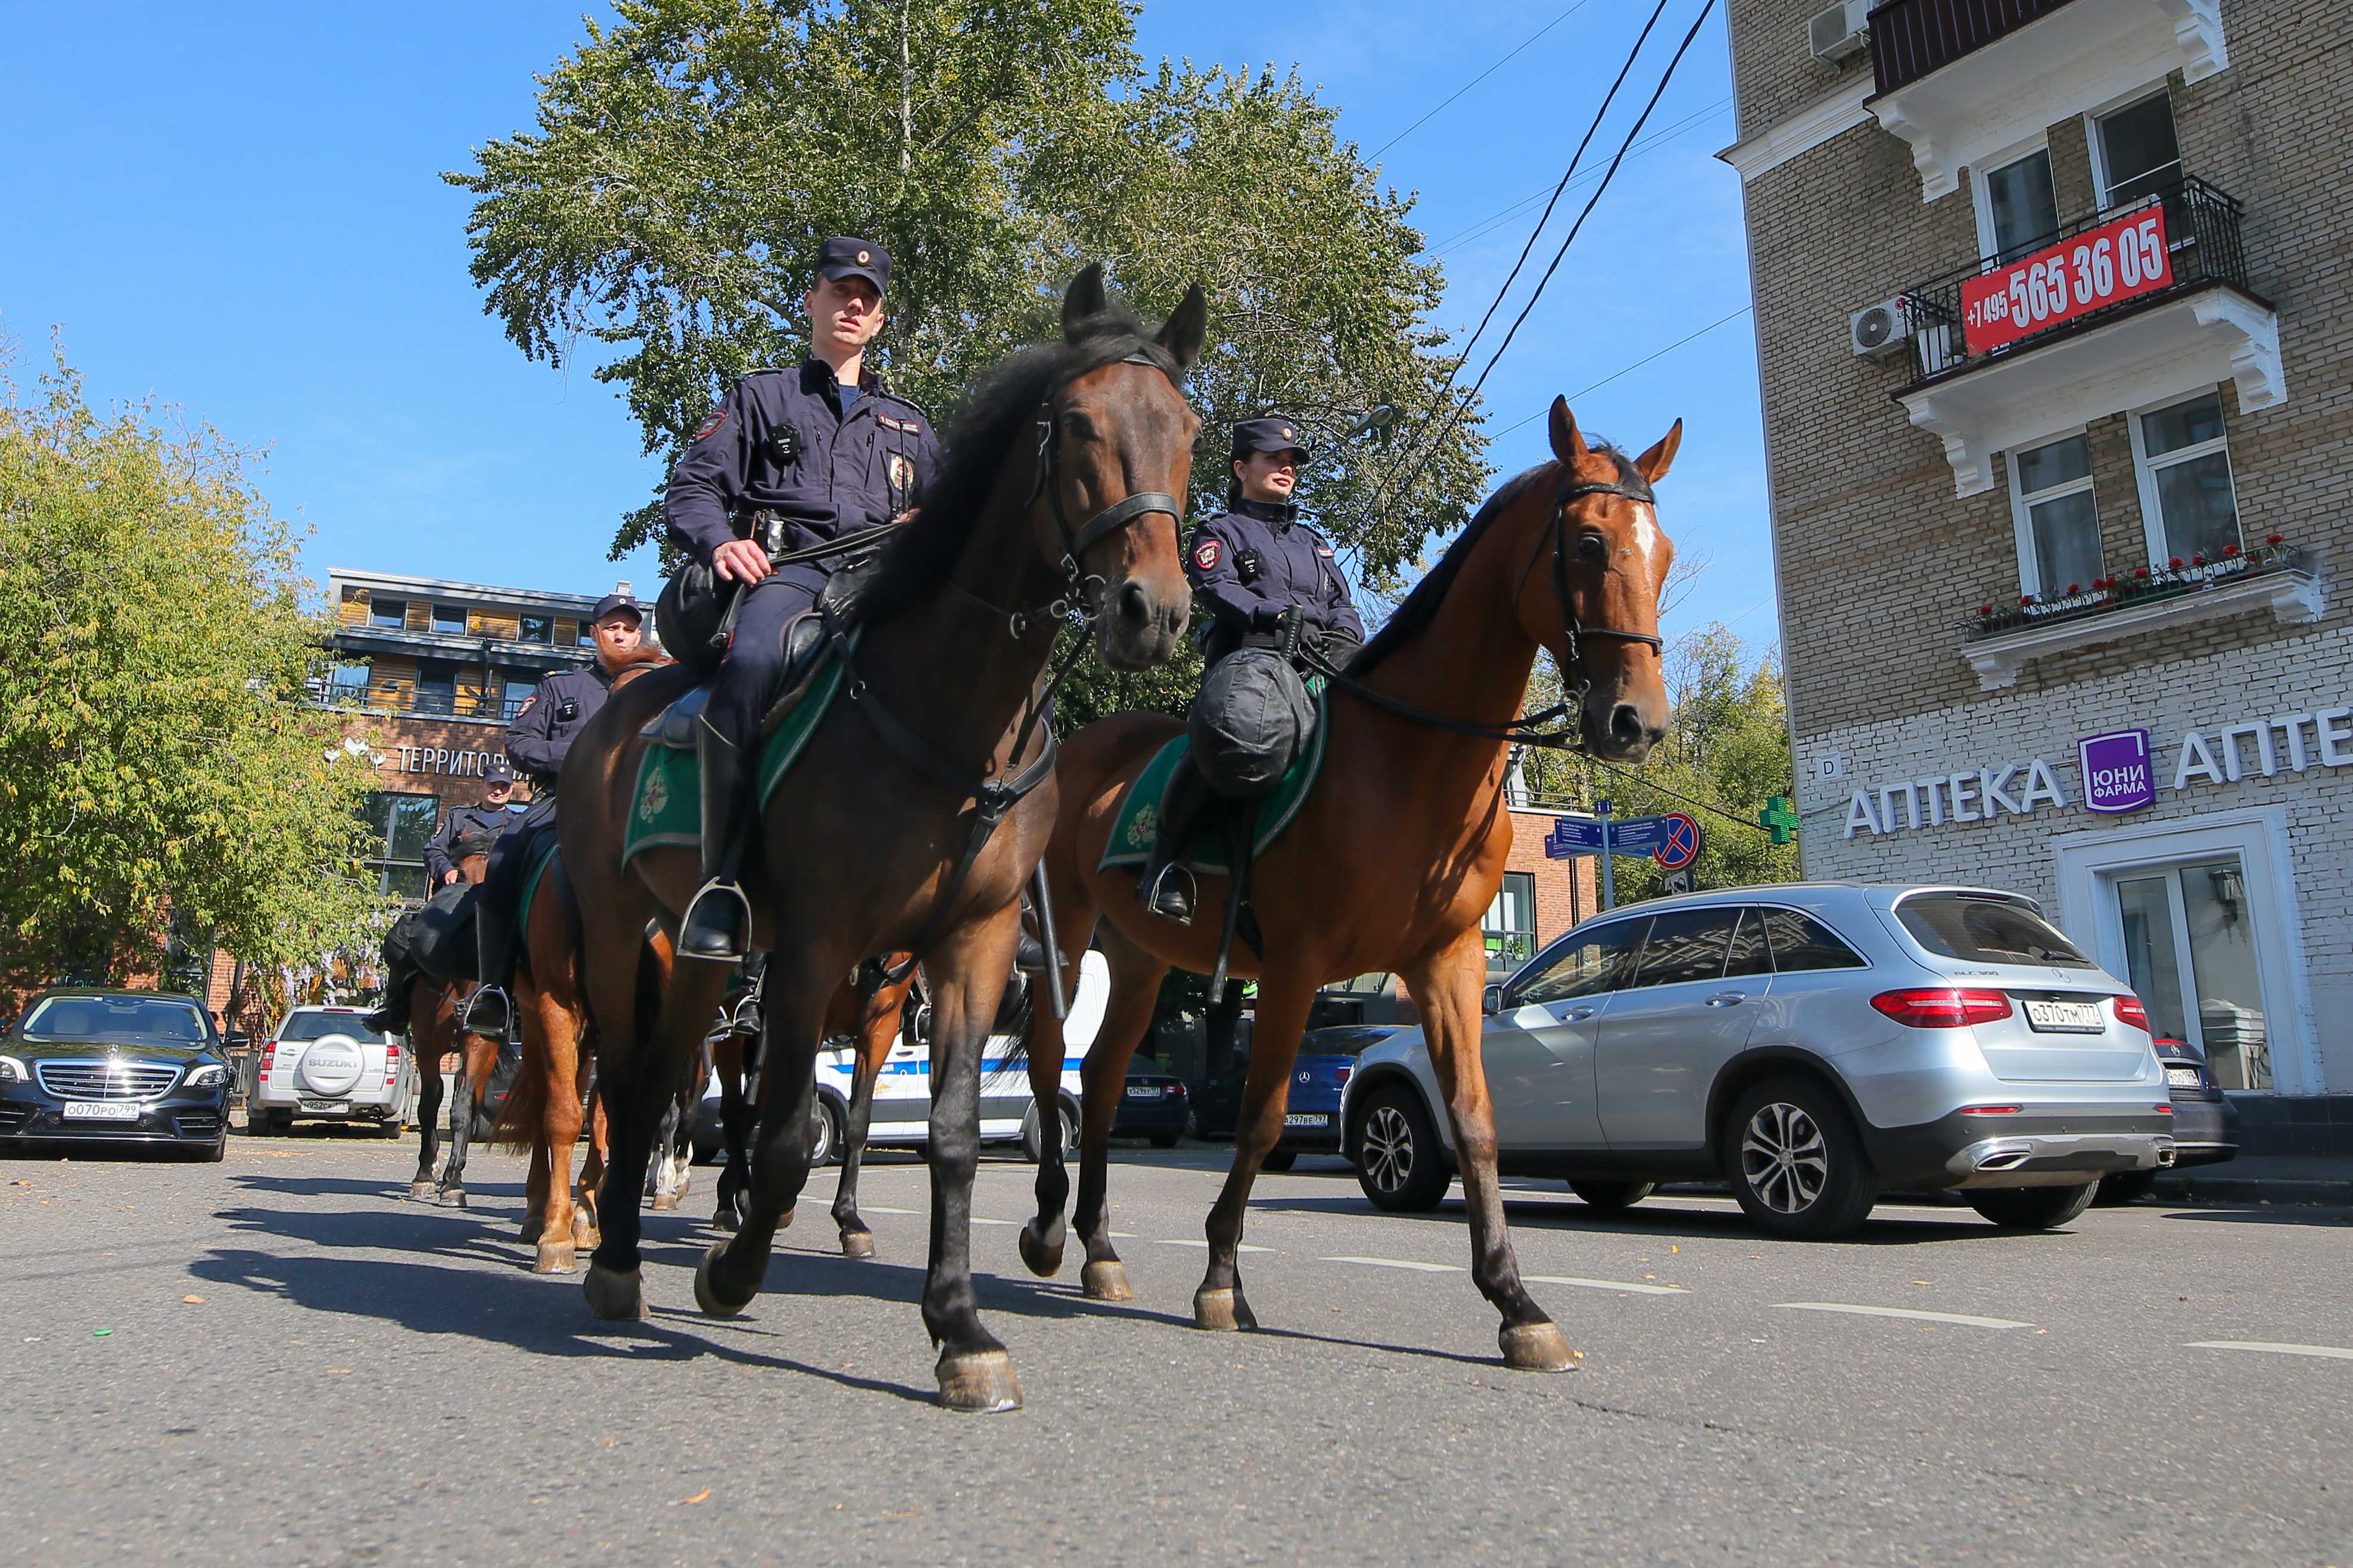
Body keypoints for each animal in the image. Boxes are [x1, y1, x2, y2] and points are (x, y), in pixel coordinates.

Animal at [560, 267, 1204, 1410]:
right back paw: (618, 1260)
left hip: (694, 953)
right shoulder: (815, 943)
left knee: (663, 1072)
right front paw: (732, 1270)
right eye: (1081, 425)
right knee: (634, 1079)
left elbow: (948, 1134)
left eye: (1188, 431)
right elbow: (781, 1141)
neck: (947, 711)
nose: (1154, 611)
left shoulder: (972, 944)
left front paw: (960, 1329)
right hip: (615, 927)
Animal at [1011, 402, 1675, 1373]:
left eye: (1663, 551)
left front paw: (1516, 1304)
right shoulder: (1295, 965)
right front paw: (1221, 1280)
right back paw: (1049, 1233)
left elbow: (1474, 1120)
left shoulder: (1446, 961)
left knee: (1099, 1077)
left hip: (1136, 954)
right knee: (1047, 1056)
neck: (1407, 763)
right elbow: (1261, 1115)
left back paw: (1101, 1253)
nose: (1637, 722)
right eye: (1588, 543)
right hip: (1065, 930)